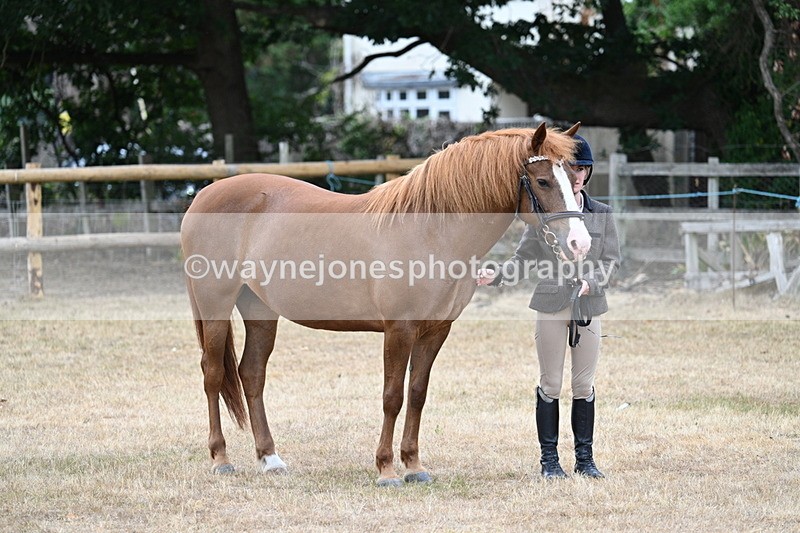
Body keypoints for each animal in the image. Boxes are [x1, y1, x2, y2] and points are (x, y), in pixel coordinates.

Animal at [180, 122, 591, 486]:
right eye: (542, 181)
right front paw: (386, 469)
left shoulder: (435, 331)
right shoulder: (399, 329)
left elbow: (417, 394)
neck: (431, 231)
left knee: (251, 374)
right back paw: (221, 459)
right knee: (212, 373)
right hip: (216, 306)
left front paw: (414, 466)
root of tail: (203, 195)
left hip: (260, 310)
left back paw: (270, 459)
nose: (579, 243)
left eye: (574, 180)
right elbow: (392, 397)